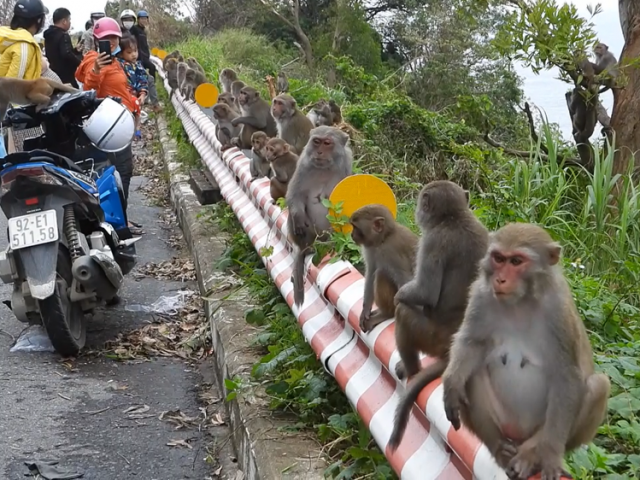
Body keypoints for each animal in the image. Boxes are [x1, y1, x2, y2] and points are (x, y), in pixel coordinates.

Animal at [286, 126, 352, 308]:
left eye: (327, 143)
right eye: (316, 141)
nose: (319, 152)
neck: (325, 168)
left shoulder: (346, 165)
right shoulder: (302, 164)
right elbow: (294, 195)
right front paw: (298, 217)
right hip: (306, 236)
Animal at [350, 203, 420, 334]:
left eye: (355, 227)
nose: (352, 235)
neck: (383, 239)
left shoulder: (390, 251)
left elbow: (405, 279)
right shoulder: (370, 247)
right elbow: (370, 271)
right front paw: (365, 310)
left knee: (381, 273)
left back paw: (386, 313)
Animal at [440, 224, 608, 480]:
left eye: (517, 261)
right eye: (499, 258)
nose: (500, 279)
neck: (521, 302)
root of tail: (518, 436)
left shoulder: (558, 311)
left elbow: (567, 376)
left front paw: (550, 456)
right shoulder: (481, 294)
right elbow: (472, 342)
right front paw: (451, 385)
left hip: (539, 430)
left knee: (598, 385)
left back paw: (531, 455)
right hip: (504, 422)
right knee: (473, 372)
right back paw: (498, 447)